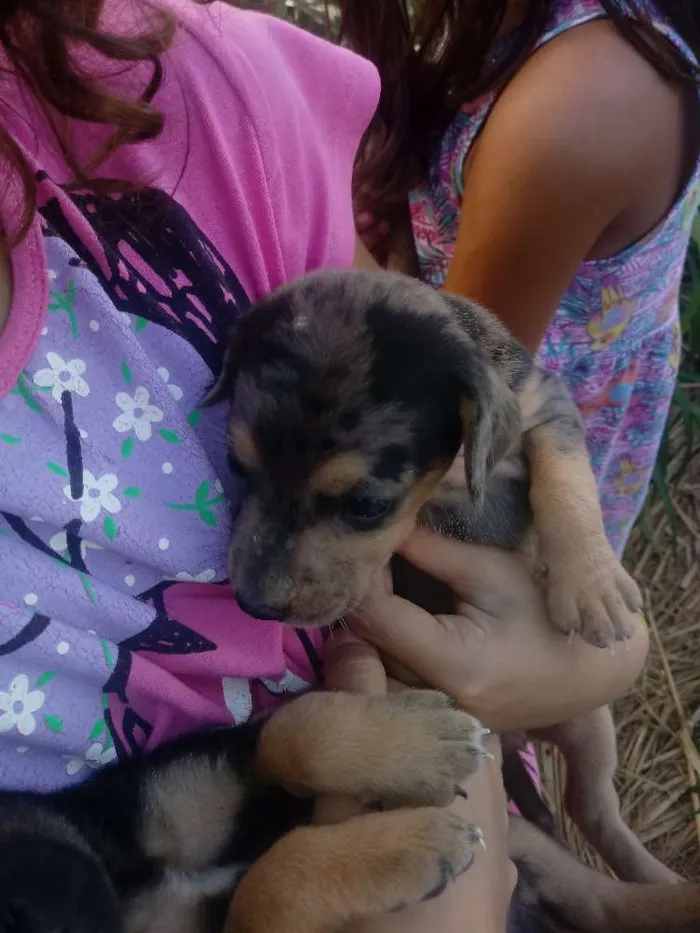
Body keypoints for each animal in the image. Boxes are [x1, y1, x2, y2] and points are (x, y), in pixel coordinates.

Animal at [0, 688, 490, 928]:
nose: (27, 913)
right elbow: (267, 884)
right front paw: (413, 846)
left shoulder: (182, 790)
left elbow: (290, 736)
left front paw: (422, 741)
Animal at [205, 268, 676, 888]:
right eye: (238, 465)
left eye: (366, 506)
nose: (253, 603)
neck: (447, 482)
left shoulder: (544, 405)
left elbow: (566, 476)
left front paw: (591, 584)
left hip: (592, 723)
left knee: (597, 809)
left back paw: (657, 877)